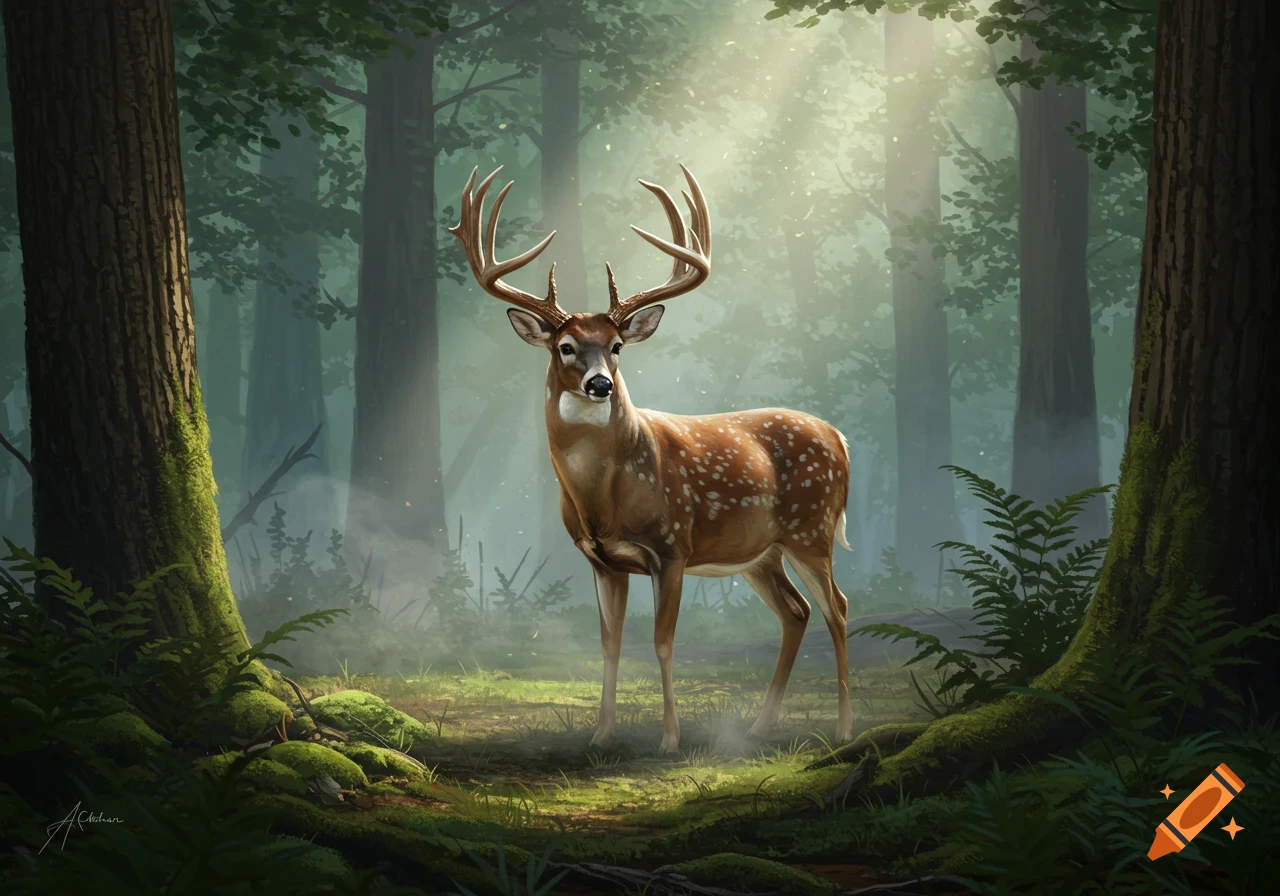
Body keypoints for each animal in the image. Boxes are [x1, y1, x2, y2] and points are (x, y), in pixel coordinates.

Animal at [448, 165, 853, 753]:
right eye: (565, 346)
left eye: (617, 346)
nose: (599, 384)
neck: (604, 500)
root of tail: (840, 438)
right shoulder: (601, 560)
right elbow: (610, 644)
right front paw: (601, 735)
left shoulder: (672, 546)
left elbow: (663, 643)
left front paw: (669, 740)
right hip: (761, 551)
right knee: (796, 612)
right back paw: (760, 726)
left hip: (811, 529)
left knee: (837, 608)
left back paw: (844, 728)